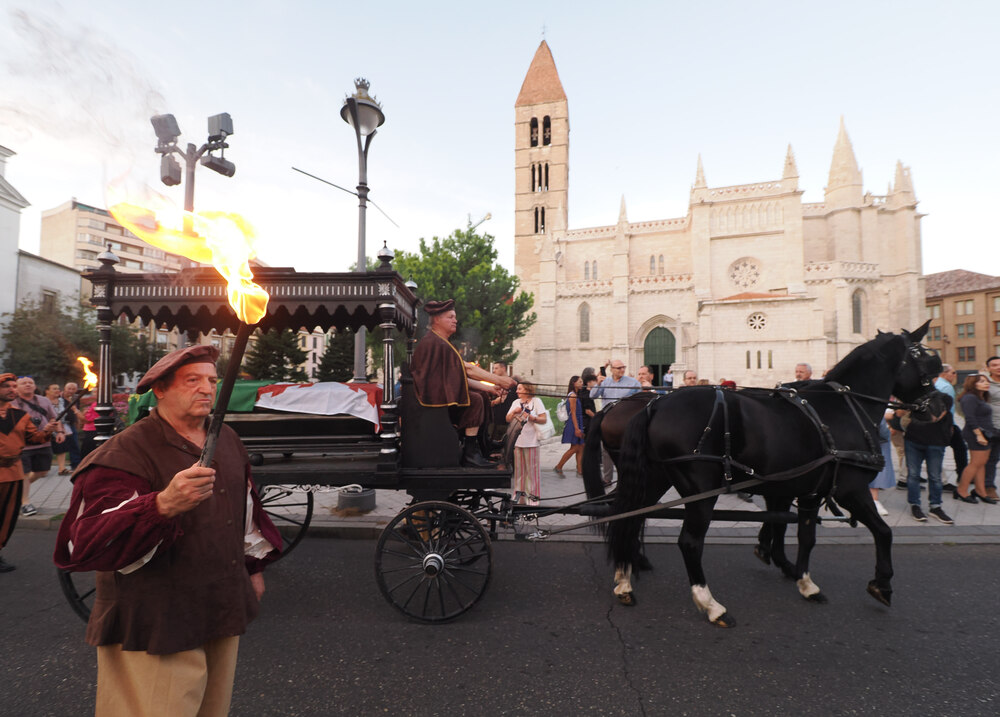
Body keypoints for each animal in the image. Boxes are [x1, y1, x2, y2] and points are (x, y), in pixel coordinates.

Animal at [584, 322, 940, 624]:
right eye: (928, 363)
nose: (938, 408)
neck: (841, 407)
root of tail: (653, 405)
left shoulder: (803, 490)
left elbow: (804, 535)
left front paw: (803, 580)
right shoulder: (849, 489)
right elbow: (882, 532)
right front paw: (882, 584)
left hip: (654, 479)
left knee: (628, 518)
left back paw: (625, 580)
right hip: (699, 489)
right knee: (688, 541)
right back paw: (711, 605)